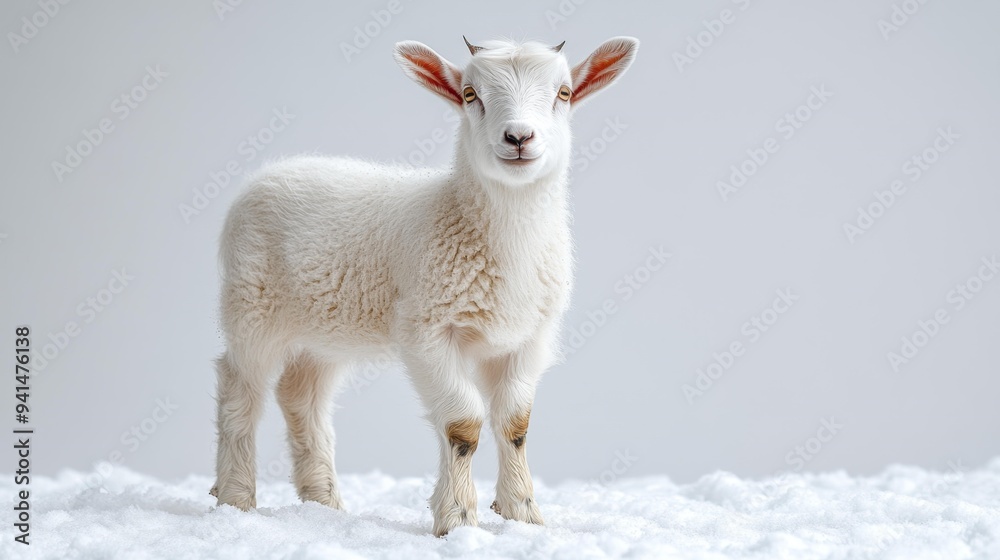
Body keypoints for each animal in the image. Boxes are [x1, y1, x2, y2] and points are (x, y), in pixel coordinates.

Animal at [211, 36, 639, 536]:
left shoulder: (531, 335)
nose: (518, 138)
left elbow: (515, 424)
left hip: (325, 329)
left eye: (564, 93)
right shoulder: (427, 330)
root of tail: (273, 170)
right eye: (470, 94)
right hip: (251, 305)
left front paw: (522, 512)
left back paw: (323, 503)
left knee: (302, 397)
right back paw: (235, 498)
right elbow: (463, 424)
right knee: (240, 390)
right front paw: (457, 518)